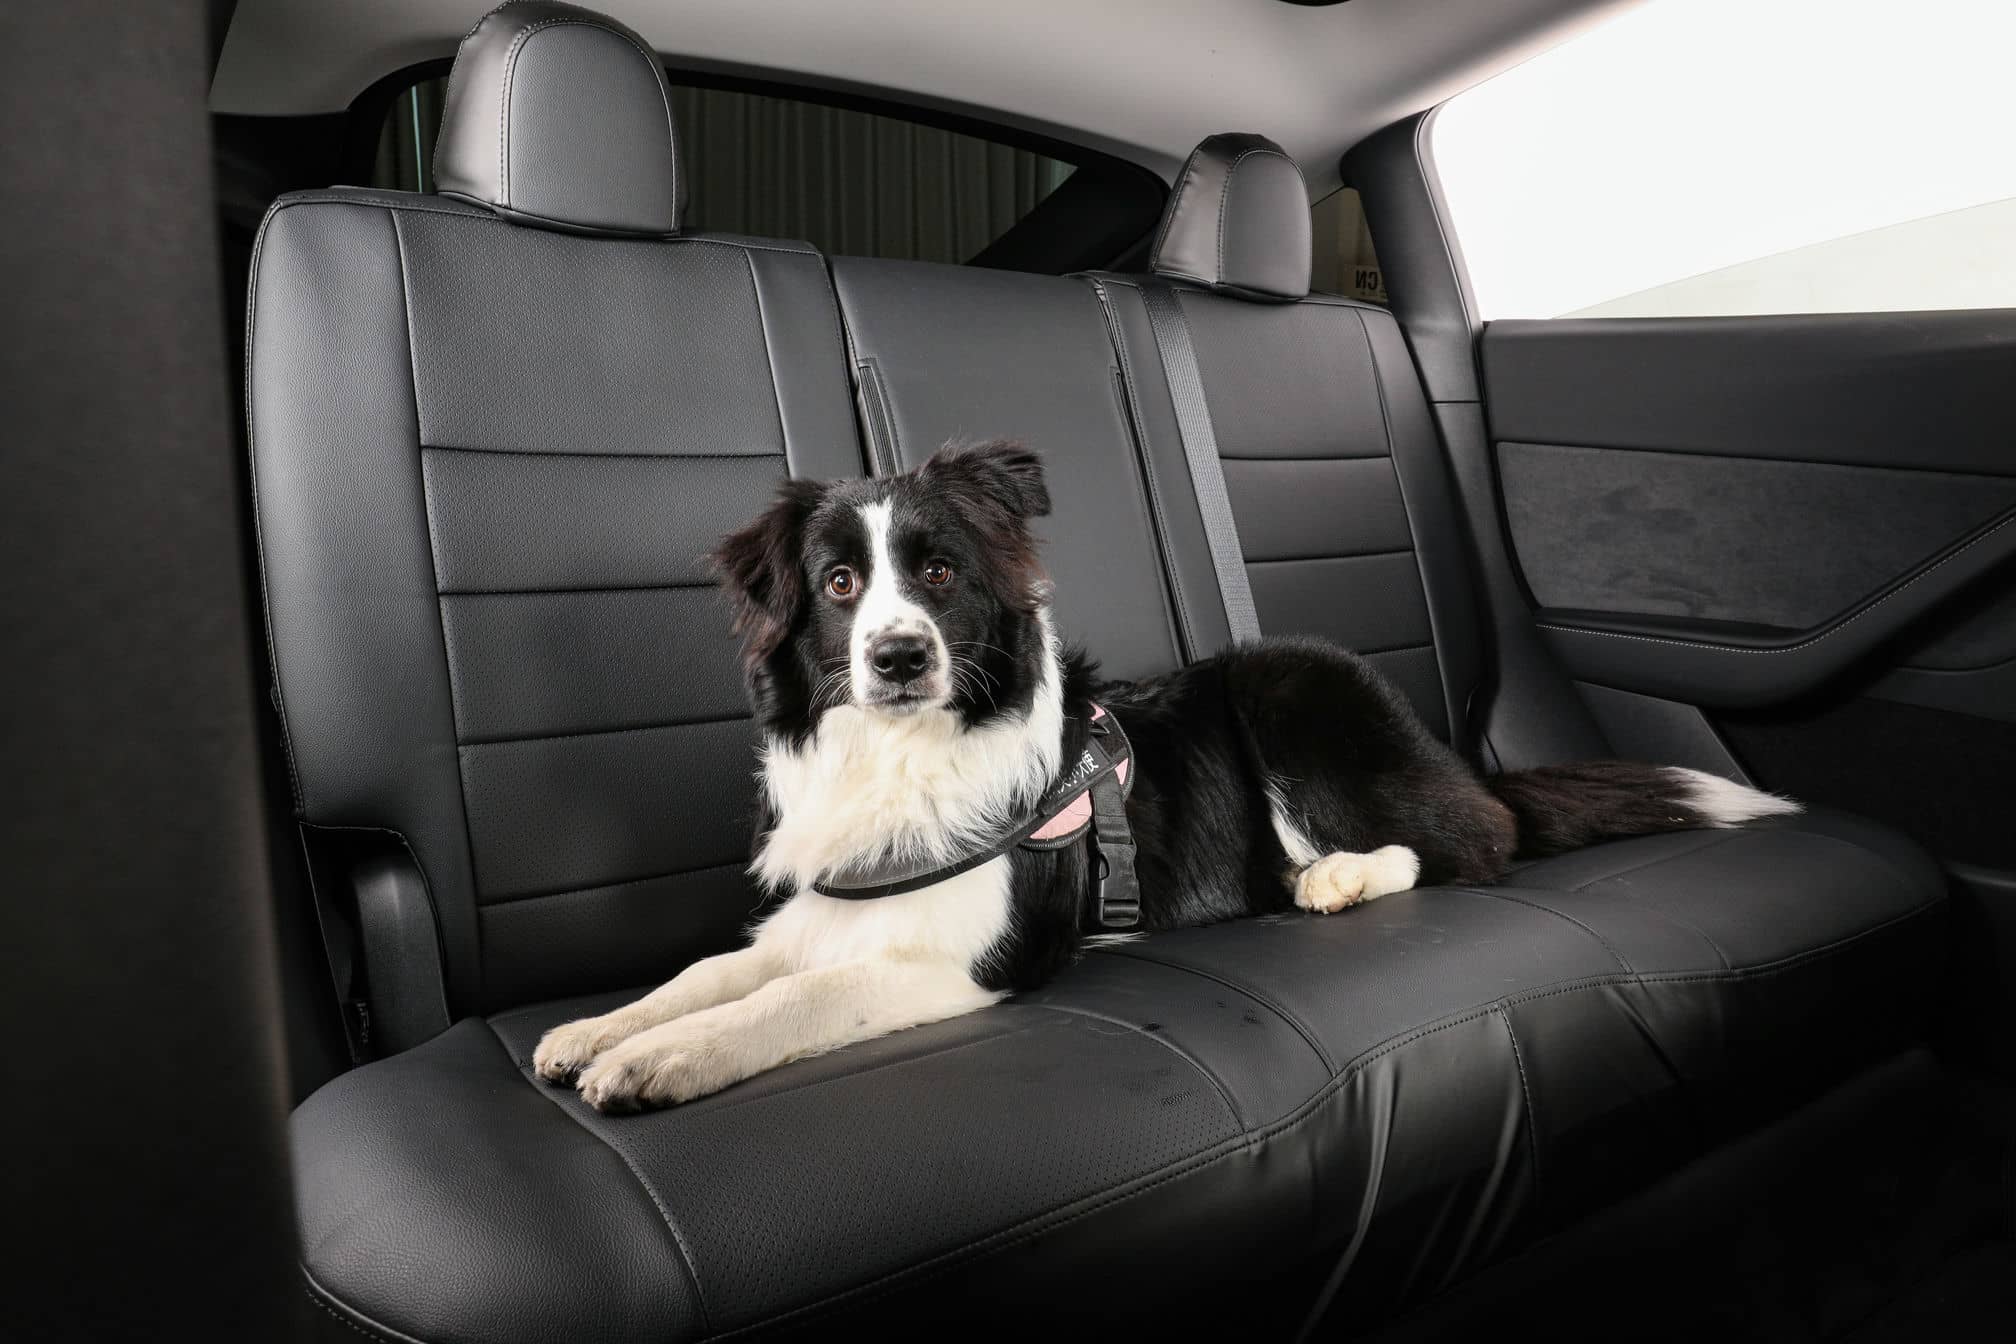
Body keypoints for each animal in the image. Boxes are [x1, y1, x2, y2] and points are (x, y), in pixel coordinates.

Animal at [536, 441, 1798, 1112]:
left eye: (939, 573)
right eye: (840, 585)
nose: (897, 657)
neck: (905, 755)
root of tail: (1446, 754)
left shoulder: (972, 959)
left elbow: (791, 1001)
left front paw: (662, 1061)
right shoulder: (824, 913)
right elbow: (715, 971)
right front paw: (601, 1030)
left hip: (1292, 687)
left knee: (1470, 840)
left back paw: (1335, 878)